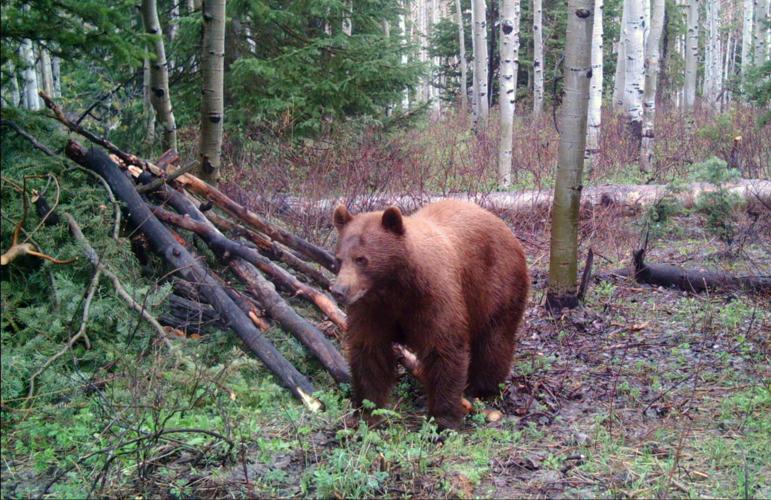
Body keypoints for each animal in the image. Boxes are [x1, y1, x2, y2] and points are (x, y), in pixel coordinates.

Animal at [331, 199, 529, 429]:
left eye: (361, 259)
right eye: (339, 259)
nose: (339, 291)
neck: (395, 287)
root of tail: (503, 225)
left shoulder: (434, 297)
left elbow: (443, 348)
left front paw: (443, 419)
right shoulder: (372, 308)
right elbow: (369, 351)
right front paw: (368, 411)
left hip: (497, 285)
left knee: (494, 340)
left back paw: (483, 386)